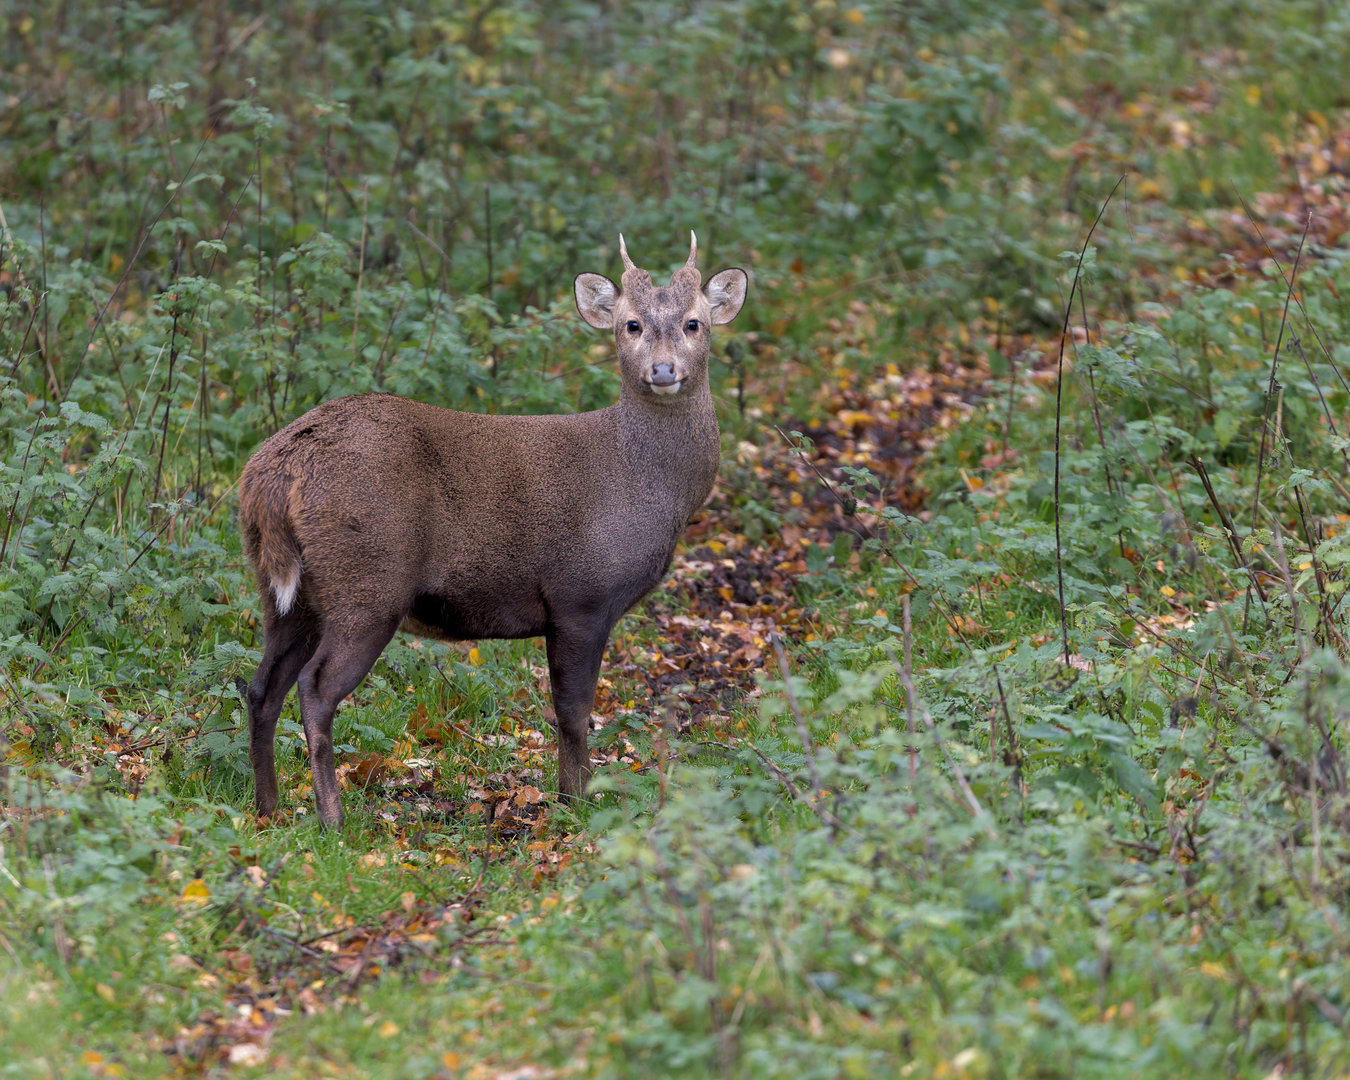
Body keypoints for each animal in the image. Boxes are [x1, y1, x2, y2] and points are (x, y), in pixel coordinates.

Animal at [238, 233, 748, 828]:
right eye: (632, 324)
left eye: (694, 322)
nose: (663, 370)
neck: (644, 485)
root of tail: (274, 472)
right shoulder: (581, 596)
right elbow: (574, 712)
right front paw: (577, 804)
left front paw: (568, 798)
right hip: (367, 583)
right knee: (314, 688)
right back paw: (333, 822)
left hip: (286, 593)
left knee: (261, 687)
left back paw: (268, 810)